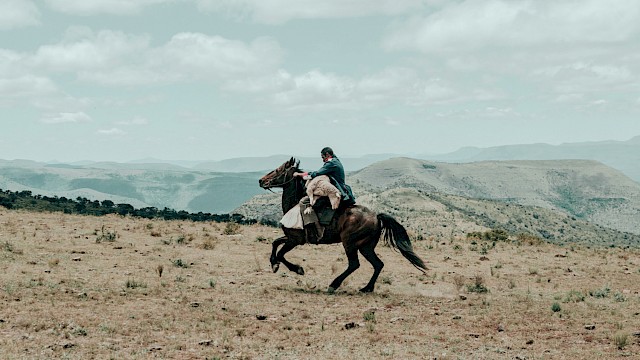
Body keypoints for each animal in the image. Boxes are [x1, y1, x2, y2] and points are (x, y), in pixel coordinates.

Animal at [258, 158, 428, 292]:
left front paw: (297, 269)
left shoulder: (295, 240)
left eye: (278, 169)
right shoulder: (290, 237)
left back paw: (334, 285)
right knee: (378, 264)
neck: (295, 205)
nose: (261, 181)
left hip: (350, 243)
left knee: (354, 264)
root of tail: (376, 216)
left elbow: (281, 253)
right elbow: (275, 243)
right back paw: (367, 288)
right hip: (365, 247)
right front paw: (274, 264)